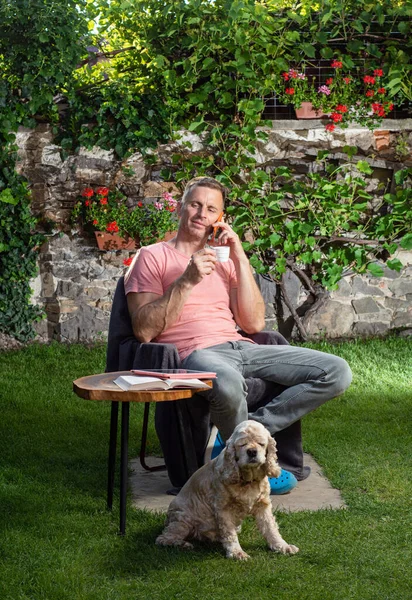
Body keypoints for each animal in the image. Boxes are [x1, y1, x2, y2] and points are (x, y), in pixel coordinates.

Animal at [156, 420, 298, 560]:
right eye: (242, 444)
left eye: (261, 444)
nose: (252, 451)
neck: (247, 480)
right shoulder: (223, 508)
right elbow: (229, 533)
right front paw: (236, 553)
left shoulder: (263, 505)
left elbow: (270, 527)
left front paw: (282, 546)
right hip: (183, 519)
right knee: (163, 538)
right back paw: (183, 544)